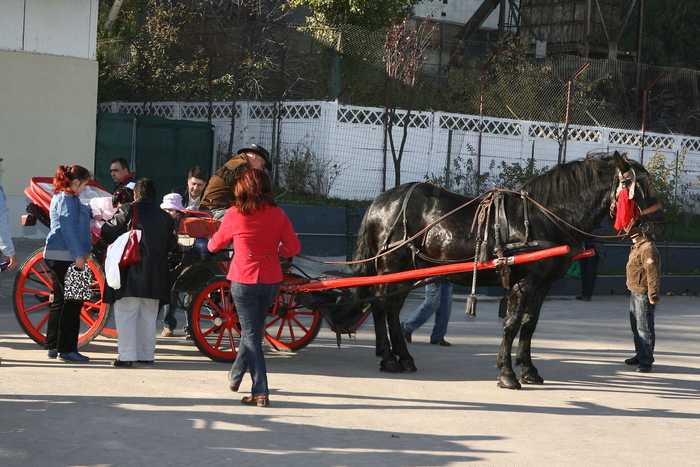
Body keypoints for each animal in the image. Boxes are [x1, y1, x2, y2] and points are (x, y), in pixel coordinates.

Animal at [356, 152, 668, 390]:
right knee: (382, 306)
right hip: (391, 266)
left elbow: (529, 324)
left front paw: (528, 369)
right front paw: (507, 374)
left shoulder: (542, 286)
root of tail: (381, 201)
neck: (546, 217)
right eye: (638, 187)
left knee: (391, 308)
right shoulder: (524, 283)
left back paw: (402, 357)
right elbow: (511, 324)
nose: (659, 225)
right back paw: (389, 358)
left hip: (405, 271)